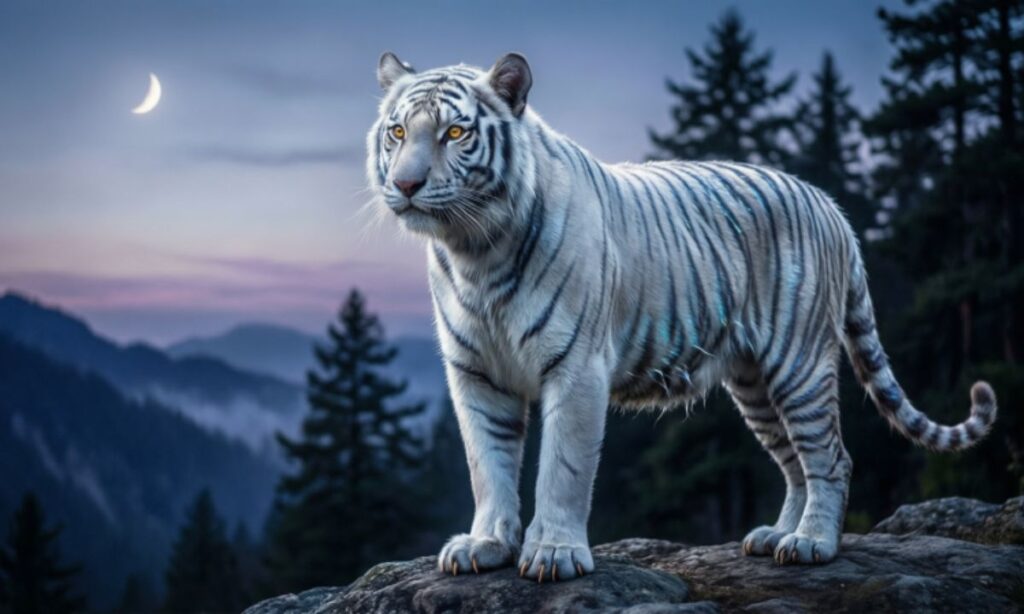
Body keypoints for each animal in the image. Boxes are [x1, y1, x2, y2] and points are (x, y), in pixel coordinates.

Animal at [366, 51, 997, 581]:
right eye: (398, 131)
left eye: (453, 132)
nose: (406, 184)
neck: (475, 250)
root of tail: (830, 205)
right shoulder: (475, 372)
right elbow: (488, 465)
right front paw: (486, 545)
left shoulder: (577, 369)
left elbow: (562, 469)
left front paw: (555, 553)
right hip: (755, 382)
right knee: (794, 461)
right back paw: (777, 537)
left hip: (799, 364)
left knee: (830, 457)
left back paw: (813, 544)